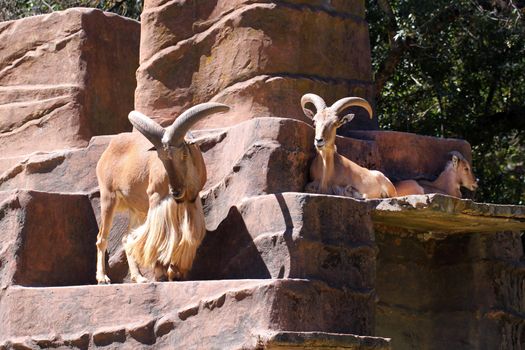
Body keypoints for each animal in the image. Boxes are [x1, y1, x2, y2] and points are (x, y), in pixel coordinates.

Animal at [94, 102, 229, 284]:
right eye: (160, 157)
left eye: (183, 153)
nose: (175, 191)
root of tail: (108, 150)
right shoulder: (157, 199)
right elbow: (159, 236)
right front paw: (162, 273)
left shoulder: (191, 200)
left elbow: (186, 236)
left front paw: (175, 272)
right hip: (108, 197)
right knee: (102, 238)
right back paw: (103, 278)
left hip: (136, 210)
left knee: (126, 237)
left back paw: (139, 278)